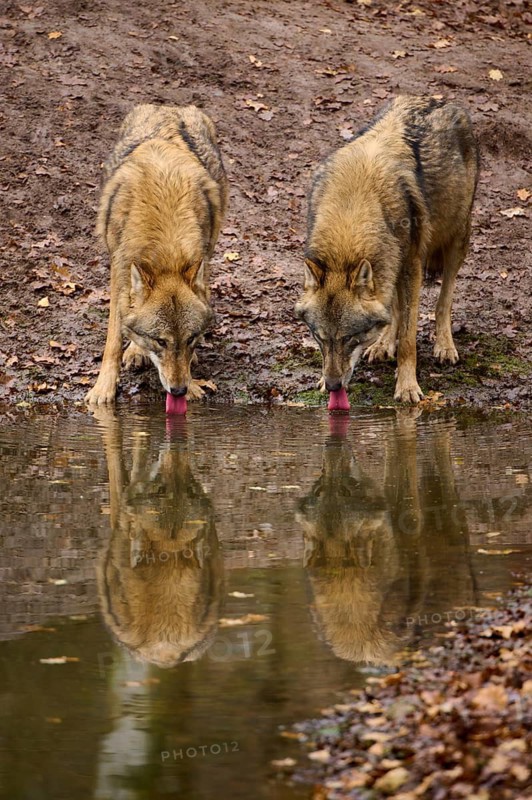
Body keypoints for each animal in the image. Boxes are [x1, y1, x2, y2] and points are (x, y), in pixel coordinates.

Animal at [85, 104, 228, 405]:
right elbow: (114, 338)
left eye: (189, 339)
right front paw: (103, 389)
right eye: (161, 341)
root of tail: (169, 108)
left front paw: (193, 380)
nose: (179, 390)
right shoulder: (119, 272)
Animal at [295, 96, 479, 403]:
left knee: (444, 300)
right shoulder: (394, 264)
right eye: (320, 337)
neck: (353, 206)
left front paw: (407, 387)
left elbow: (408, 337)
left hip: (456, 238)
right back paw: (382, 344)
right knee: (391, 307)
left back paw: (445, 346)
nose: (333, 386)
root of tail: (439, 99)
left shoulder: (412, 265)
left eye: (348, 338)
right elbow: (393, 315)